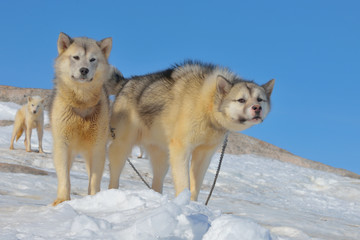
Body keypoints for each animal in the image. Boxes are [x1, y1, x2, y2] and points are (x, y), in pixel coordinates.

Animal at [108, 61, 274, 201]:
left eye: (260, 99)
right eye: (241, 100)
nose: (257, 108)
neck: (207, 106)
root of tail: (126, 82)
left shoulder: (204, 154)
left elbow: (195, 186)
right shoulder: (181, 149)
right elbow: (184, 184)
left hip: (162, 158)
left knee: (157, 182)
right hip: (122, 147)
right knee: (114, 176)